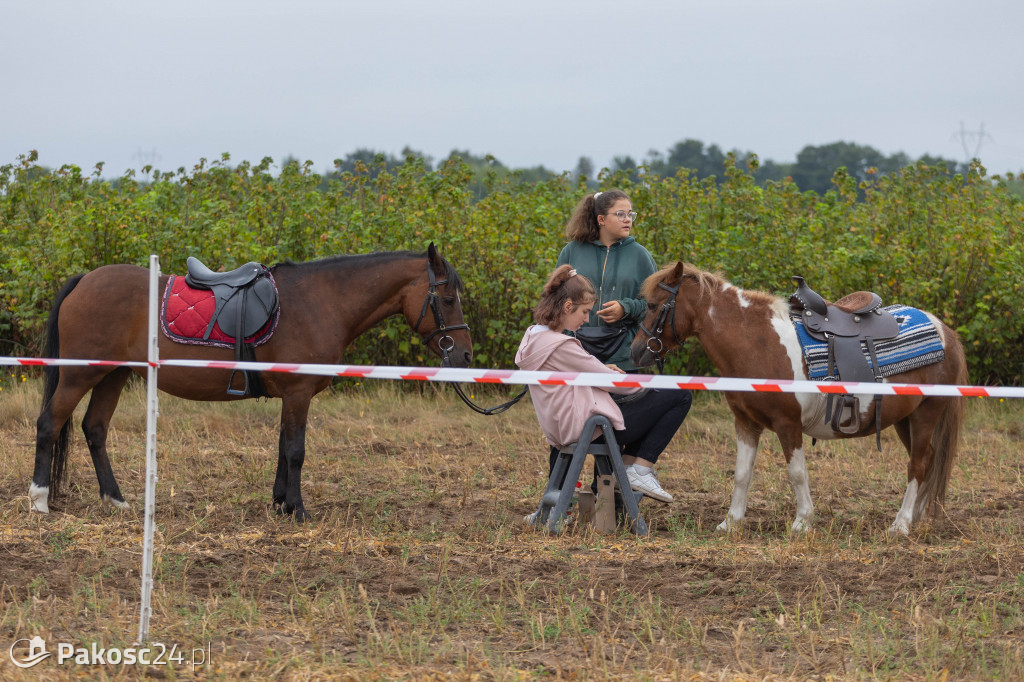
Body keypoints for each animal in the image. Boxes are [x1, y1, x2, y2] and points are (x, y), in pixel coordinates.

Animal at [29, 244, 471, 520]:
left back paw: (115, 500)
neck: (321, 301)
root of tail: (85, 280)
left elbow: (281, 447)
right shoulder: (298, 393)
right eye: (448, 300)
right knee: (50, 424)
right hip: (80, 373)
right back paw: (39, 499)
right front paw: (298, 510)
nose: (465, 356)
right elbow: (295, 451)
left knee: (94, 429)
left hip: (112, 374)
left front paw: (280, 504)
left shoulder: (291, 395)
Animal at [626, 262, 962, 532]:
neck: (758, 342)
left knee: (917, 464)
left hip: (925, 415)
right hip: (905, 419)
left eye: (654, 305)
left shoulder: (788, 424)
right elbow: (741, 474)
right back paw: (915, 516)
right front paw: (731, 522)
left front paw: (802, 521)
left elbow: (797, 473)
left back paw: (901, 524)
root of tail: (944, 330)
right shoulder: (745, 423)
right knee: (927, 459)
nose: (636, 351)